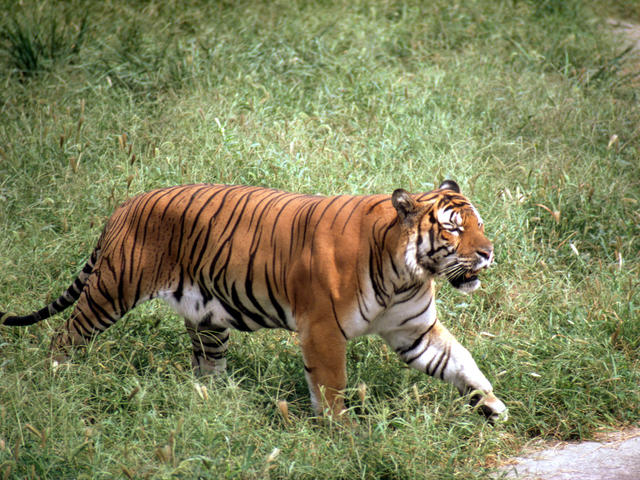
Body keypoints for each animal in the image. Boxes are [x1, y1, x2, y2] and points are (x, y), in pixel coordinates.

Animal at [1, 182, 510, 422]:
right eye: (453, 229)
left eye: (479, 225)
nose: (489, 252)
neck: (405, 274)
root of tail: (125, 205)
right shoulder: (323, 330)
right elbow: (332, 387)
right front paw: (345, 434)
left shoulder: (414, 331)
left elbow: (460, 362)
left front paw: (491, 405)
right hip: (112, 289)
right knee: (67, 333)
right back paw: (57, 378)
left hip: (206, 317)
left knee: (206, 367)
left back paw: (219, 405)